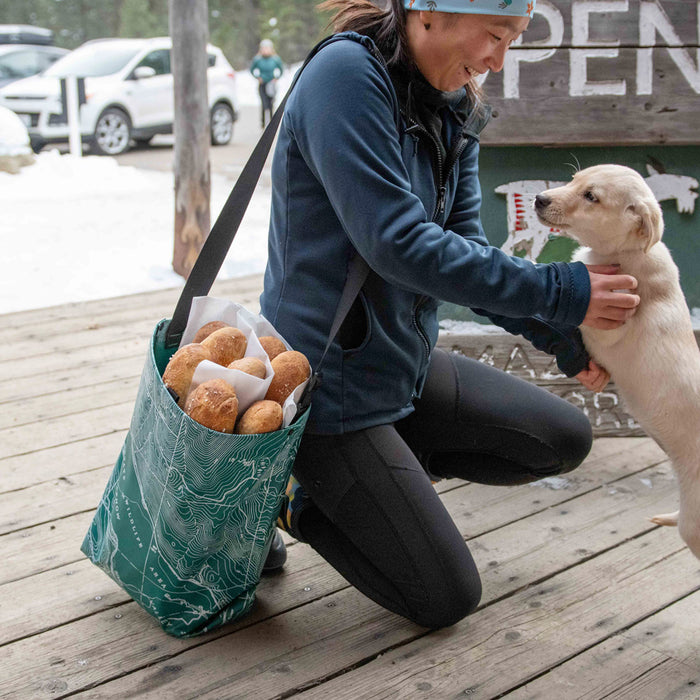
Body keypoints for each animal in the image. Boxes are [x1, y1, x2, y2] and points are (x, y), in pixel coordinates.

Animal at [532, 163, 696, 556]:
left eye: (591, 196)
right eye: (573, 180)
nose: (538, 198)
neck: (629, 251)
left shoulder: (605, 325)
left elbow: (573, 311)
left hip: (694, 526)